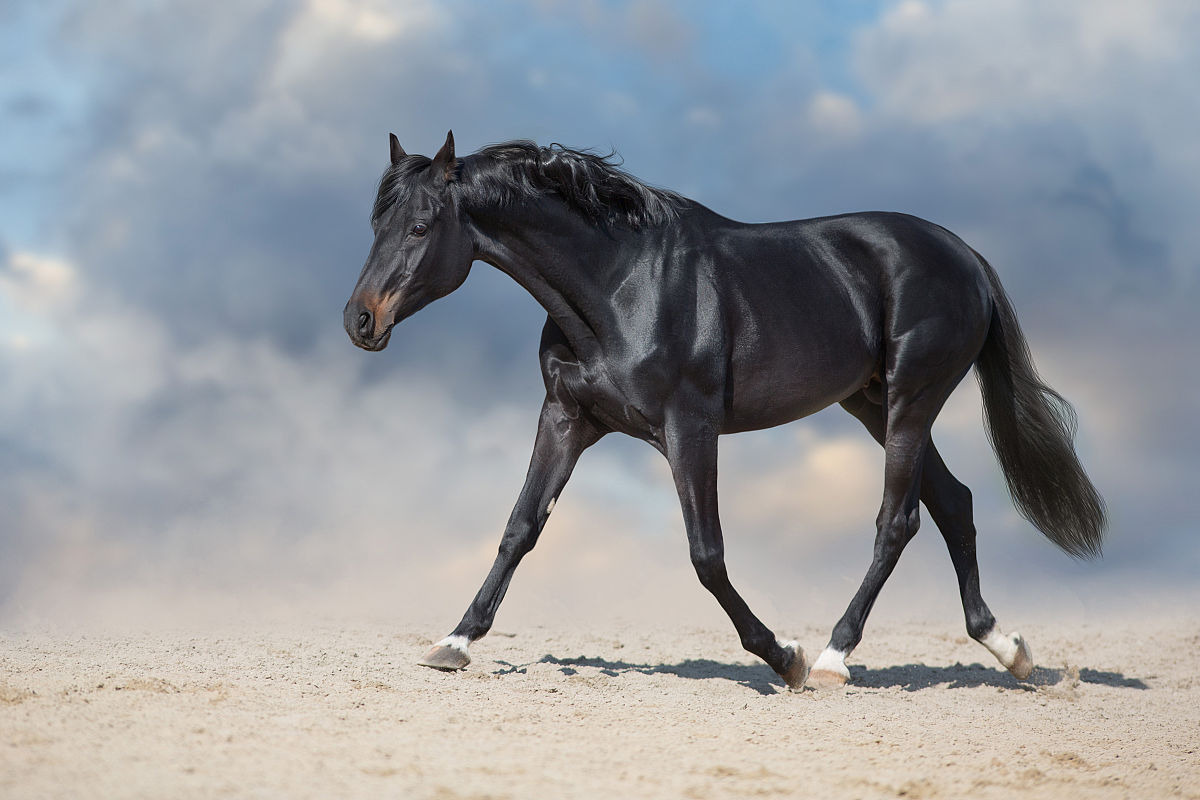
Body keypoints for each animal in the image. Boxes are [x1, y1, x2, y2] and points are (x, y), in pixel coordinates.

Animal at [343, 131, 1106, 690]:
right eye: (375, 224)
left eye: (420, 226)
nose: (360, 320)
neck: (619, 285)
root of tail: (966, 256)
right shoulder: (566, 417)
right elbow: (520, 529)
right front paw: (454, 642)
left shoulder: (690, 428)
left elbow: (706, 555)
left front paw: (784, 657)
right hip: (871, 404)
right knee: (954, 503)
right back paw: (1008, 649)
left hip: (911, 403)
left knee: (900, 520)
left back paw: (832, 657)